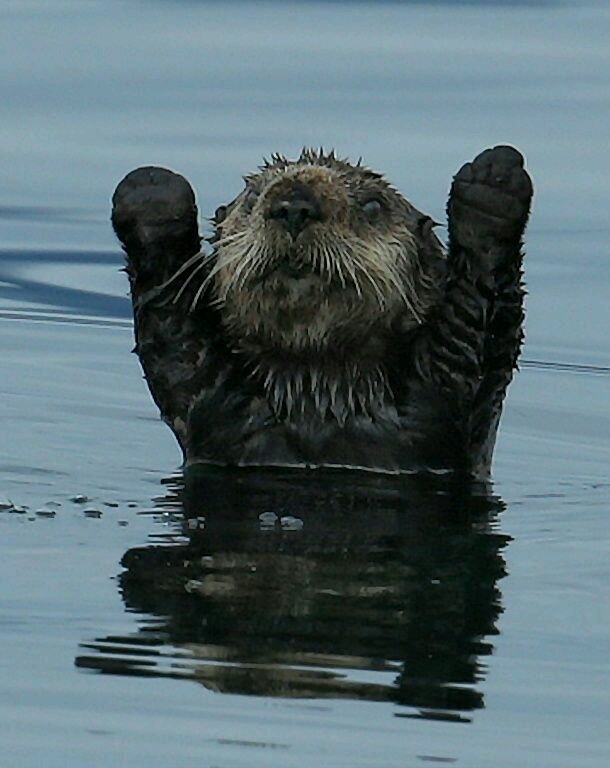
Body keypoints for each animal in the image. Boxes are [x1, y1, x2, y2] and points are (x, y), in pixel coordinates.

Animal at [111, 146, 528, 476]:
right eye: (252, 198)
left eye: (373, 205)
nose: (294, 205)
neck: (319, 393)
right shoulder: (210, 395)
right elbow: (175, 339)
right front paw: (153, 193)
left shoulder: (451, 387)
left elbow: (478, 318)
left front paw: (494, 180)